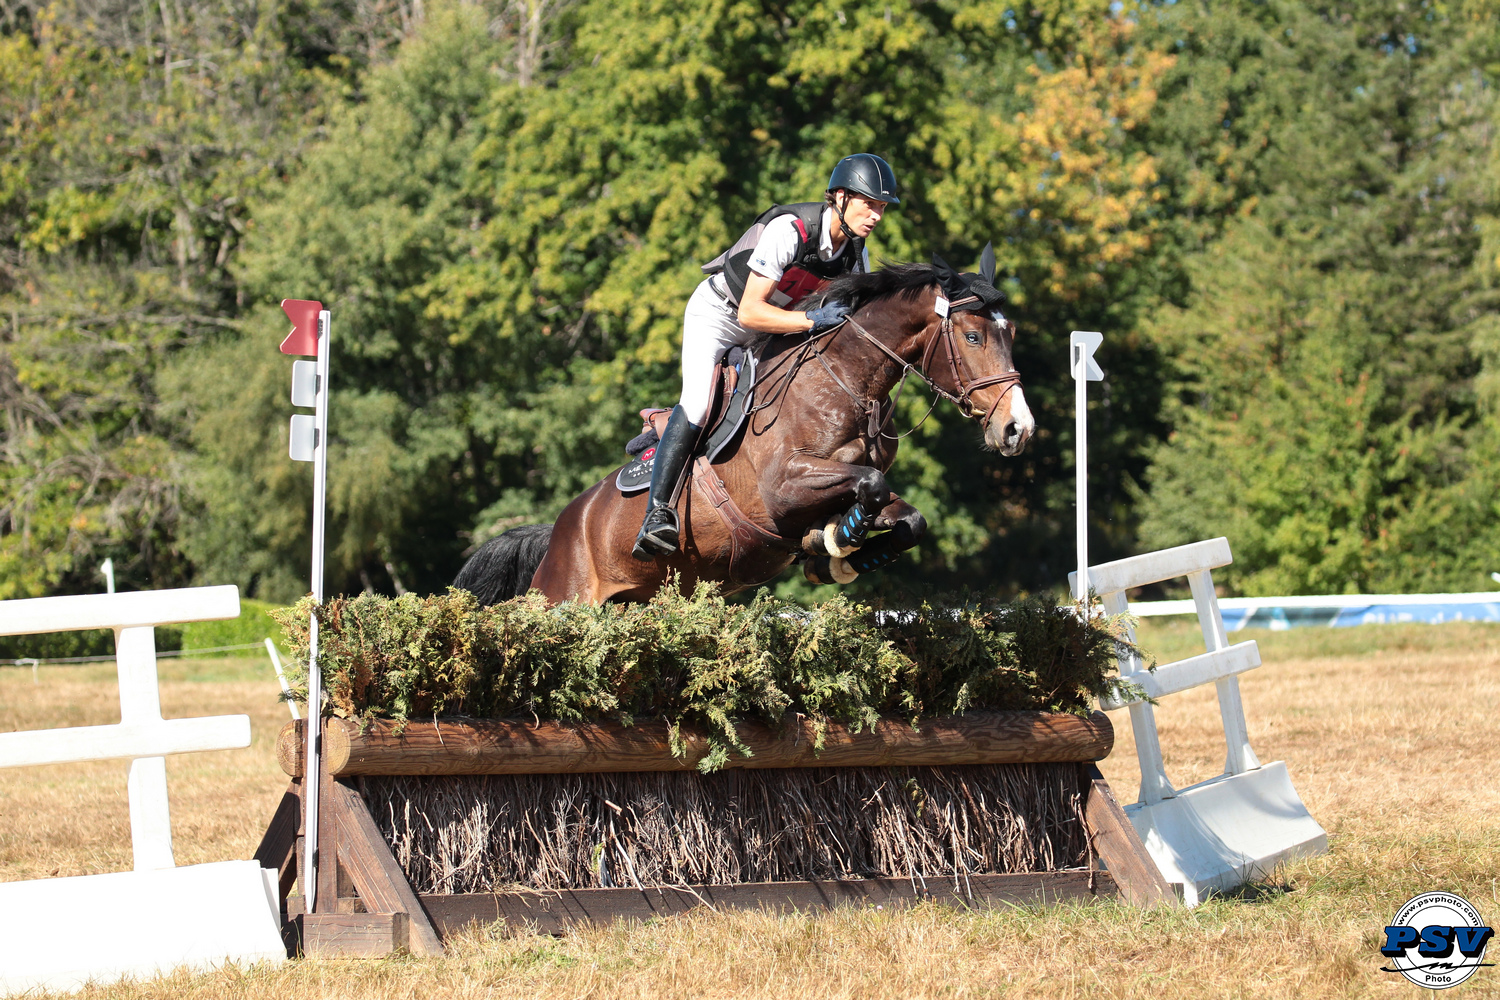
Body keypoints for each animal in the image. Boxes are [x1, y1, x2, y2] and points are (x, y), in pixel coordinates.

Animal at [454, 251, 1035, 605]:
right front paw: (836, 540)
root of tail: (558, 530)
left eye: (1009, 333)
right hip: (565, 597)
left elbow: (907, 517)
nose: (1018, 429)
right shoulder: (783, 487)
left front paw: (833, 554)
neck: (848, 380)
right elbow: (870, 485)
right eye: (974, 336)